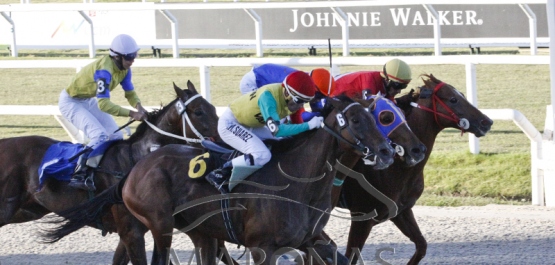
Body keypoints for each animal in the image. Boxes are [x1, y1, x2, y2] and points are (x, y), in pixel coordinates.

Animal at [0, 81, 219, 262]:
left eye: (213, 108)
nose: (221, 140)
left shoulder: (133, 232)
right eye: (199, 112)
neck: (136, 160)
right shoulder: (131, 232)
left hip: (27, 210)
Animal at [332, 73, 494, 262]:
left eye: (461, 94)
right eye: (453, 99)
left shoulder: (401, 211)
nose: (487, 122)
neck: (398, 167)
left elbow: (421, 246)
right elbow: (349, 256)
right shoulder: (362, 217)